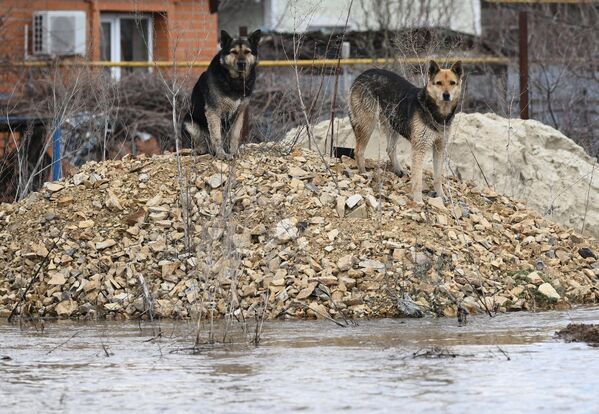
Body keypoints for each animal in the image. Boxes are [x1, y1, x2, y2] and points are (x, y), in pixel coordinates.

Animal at [180, 29, 260, 160]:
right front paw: (221, 155)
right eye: (234, 52)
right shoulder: (213, 111)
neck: (235, 81)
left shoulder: (239, 114)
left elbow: (235, 136)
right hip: (189, 122)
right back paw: (199, 151)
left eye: (247, 52)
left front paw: (234, 152)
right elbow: (217, 136)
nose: (241, 63)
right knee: (202, 145)